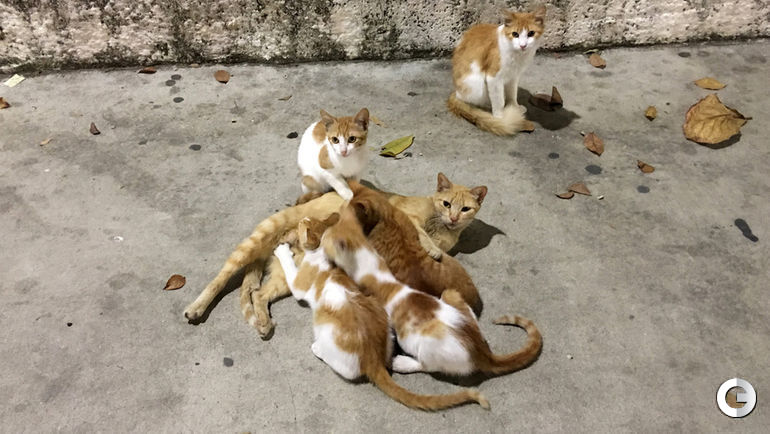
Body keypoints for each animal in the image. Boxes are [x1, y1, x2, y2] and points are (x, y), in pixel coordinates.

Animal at [273, 214, 489, 410]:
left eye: (303, 224)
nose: (302, 219)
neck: (322, 252)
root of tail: (374, 359)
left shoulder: (299, 284)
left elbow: (290, 270)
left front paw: (282, 251)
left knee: (343, 368)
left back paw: (318, 349)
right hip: (389, 329)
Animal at [321, 206, 542, 377]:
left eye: (324, 239)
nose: (320, 242)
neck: (377, 272)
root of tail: (483, 352)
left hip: (429, 345)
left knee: (429, 366)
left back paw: (403, 363)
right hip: (451, 295)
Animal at [348, 181, 483, 313]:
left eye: (465, 209)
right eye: (447, 204)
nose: (453, 218)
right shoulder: (410, 217)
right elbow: (423, 234)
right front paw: (432, 248)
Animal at [447, 6, 546, 135]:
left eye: (531, 33)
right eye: (515, 34)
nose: (523, 45)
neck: (517, 55)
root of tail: (456, 92)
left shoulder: (514, 76)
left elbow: (512, 94)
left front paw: (515, 107)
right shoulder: (493, 78)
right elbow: (499, 101)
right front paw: (500, 118)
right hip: (477, 86)